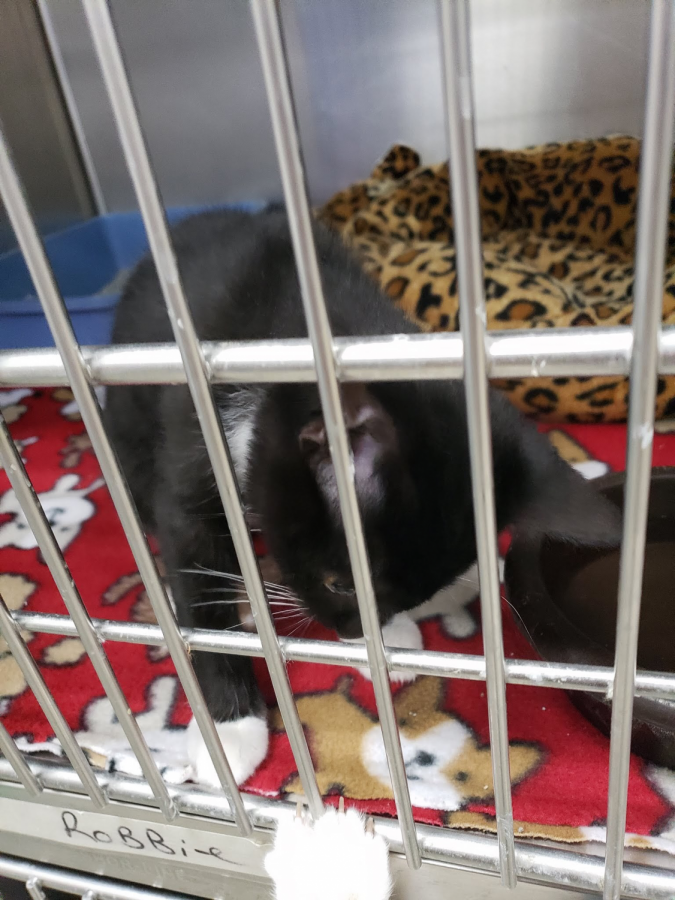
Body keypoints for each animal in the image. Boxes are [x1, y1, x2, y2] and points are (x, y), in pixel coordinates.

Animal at [107, 207, 624, 784]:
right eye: (339, 583)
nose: (350, 627)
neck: (290, 333)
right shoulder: (193, 447)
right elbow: (198, 586)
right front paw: (229, 728)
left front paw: (389, 637)